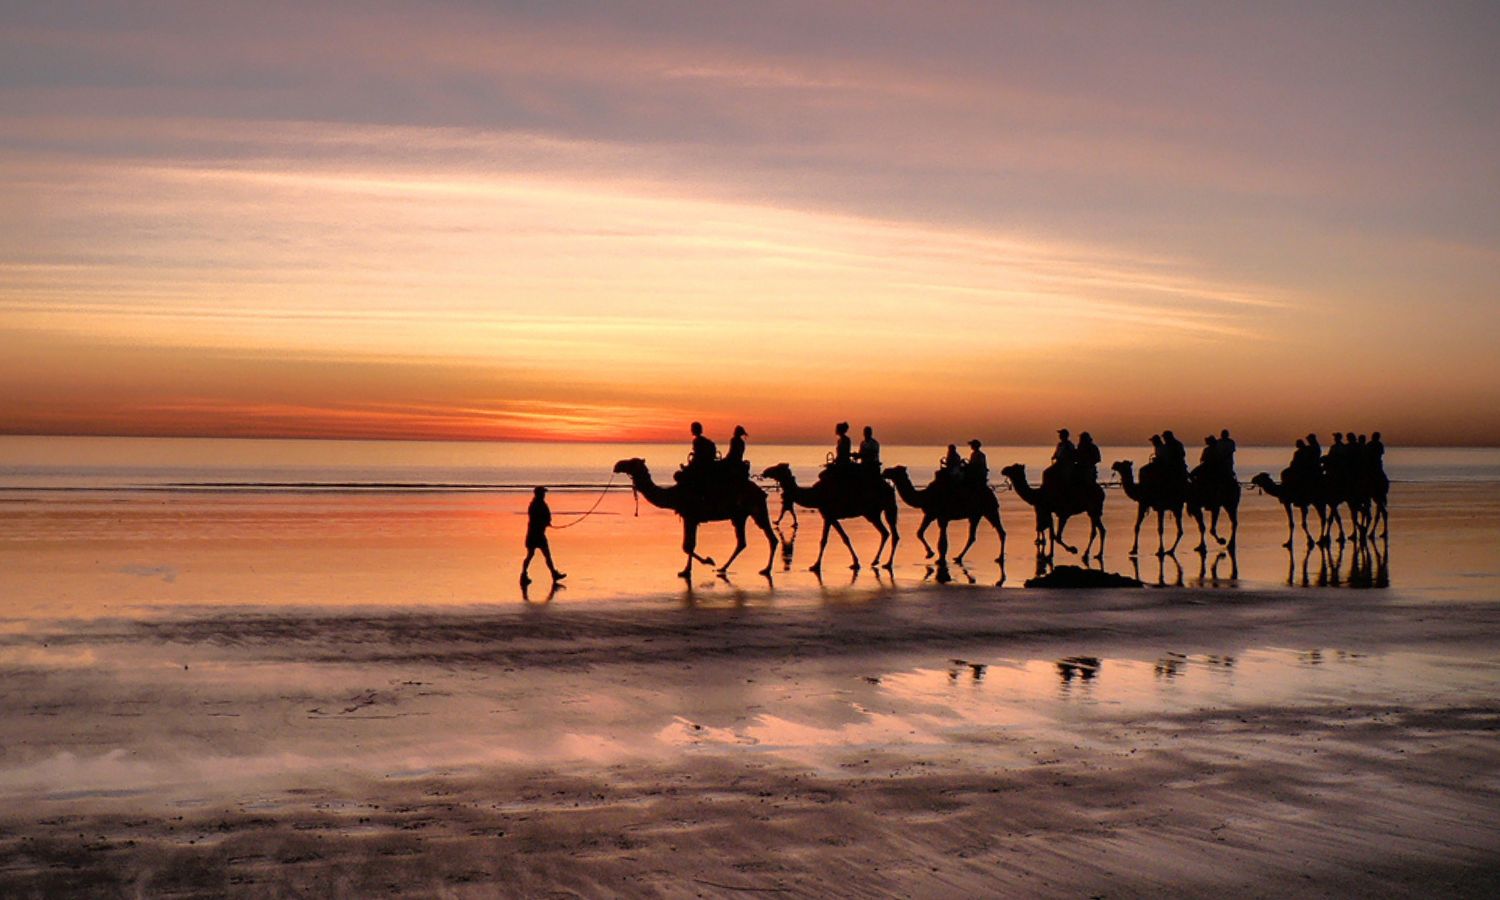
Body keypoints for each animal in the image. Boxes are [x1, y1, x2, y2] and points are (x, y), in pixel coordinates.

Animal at [612, 462, 780, 579]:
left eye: (631, 462)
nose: (617, 465)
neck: (674, 495)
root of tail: (761, 491)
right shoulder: (690, 517)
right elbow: (689, 546)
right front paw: (686, 570)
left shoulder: (690, 516)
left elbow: (687, 546)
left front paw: (707, 561)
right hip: (740, 515)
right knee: (744, 542)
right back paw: (724, 568)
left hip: (755, 509)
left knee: (769, 537)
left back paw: (765, 569)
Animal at [762, 465, 900, 570]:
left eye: (778, 468)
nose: (765, 471)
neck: (816, 495)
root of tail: (889, 487)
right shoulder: (831, 517)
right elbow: (844, 538)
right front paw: (855, 563)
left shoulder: (828, 515)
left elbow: (824, 540)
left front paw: (815, 566)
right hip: (872, 513)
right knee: (885, 532)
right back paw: (875, 561)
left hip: (887, 507)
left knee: (894, 535)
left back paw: (888, 564)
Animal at [876, 468, 1008, 567]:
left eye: (895, 470)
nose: (884, 471)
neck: (925, 496)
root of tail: (991, 491)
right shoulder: (930, 514)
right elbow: (920, 533)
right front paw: (930, 554)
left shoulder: (942, 517)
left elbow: (942, 542)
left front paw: (939, 559)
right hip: (976, 514)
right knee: (974, 536)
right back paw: (959, 557)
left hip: (990, 509)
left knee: (1000, 532)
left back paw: (1000, 558)